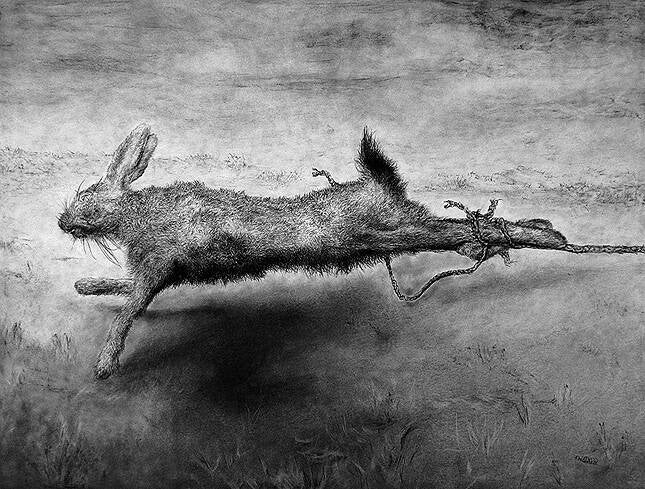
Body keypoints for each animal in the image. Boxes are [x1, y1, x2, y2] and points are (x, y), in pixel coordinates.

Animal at [59, 124, 565, 379]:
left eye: (88, 201)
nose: (62, 221)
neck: (138, 214)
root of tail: (381, 187)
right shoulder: (163, 270)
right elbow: (126, 290)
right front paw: (86, 284)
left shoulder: (161, 262)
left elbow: (129, 310)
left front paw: (105, 363)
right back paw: (539, 230)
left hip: (392, 228)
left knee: (455, 229)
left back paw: (535, 236)